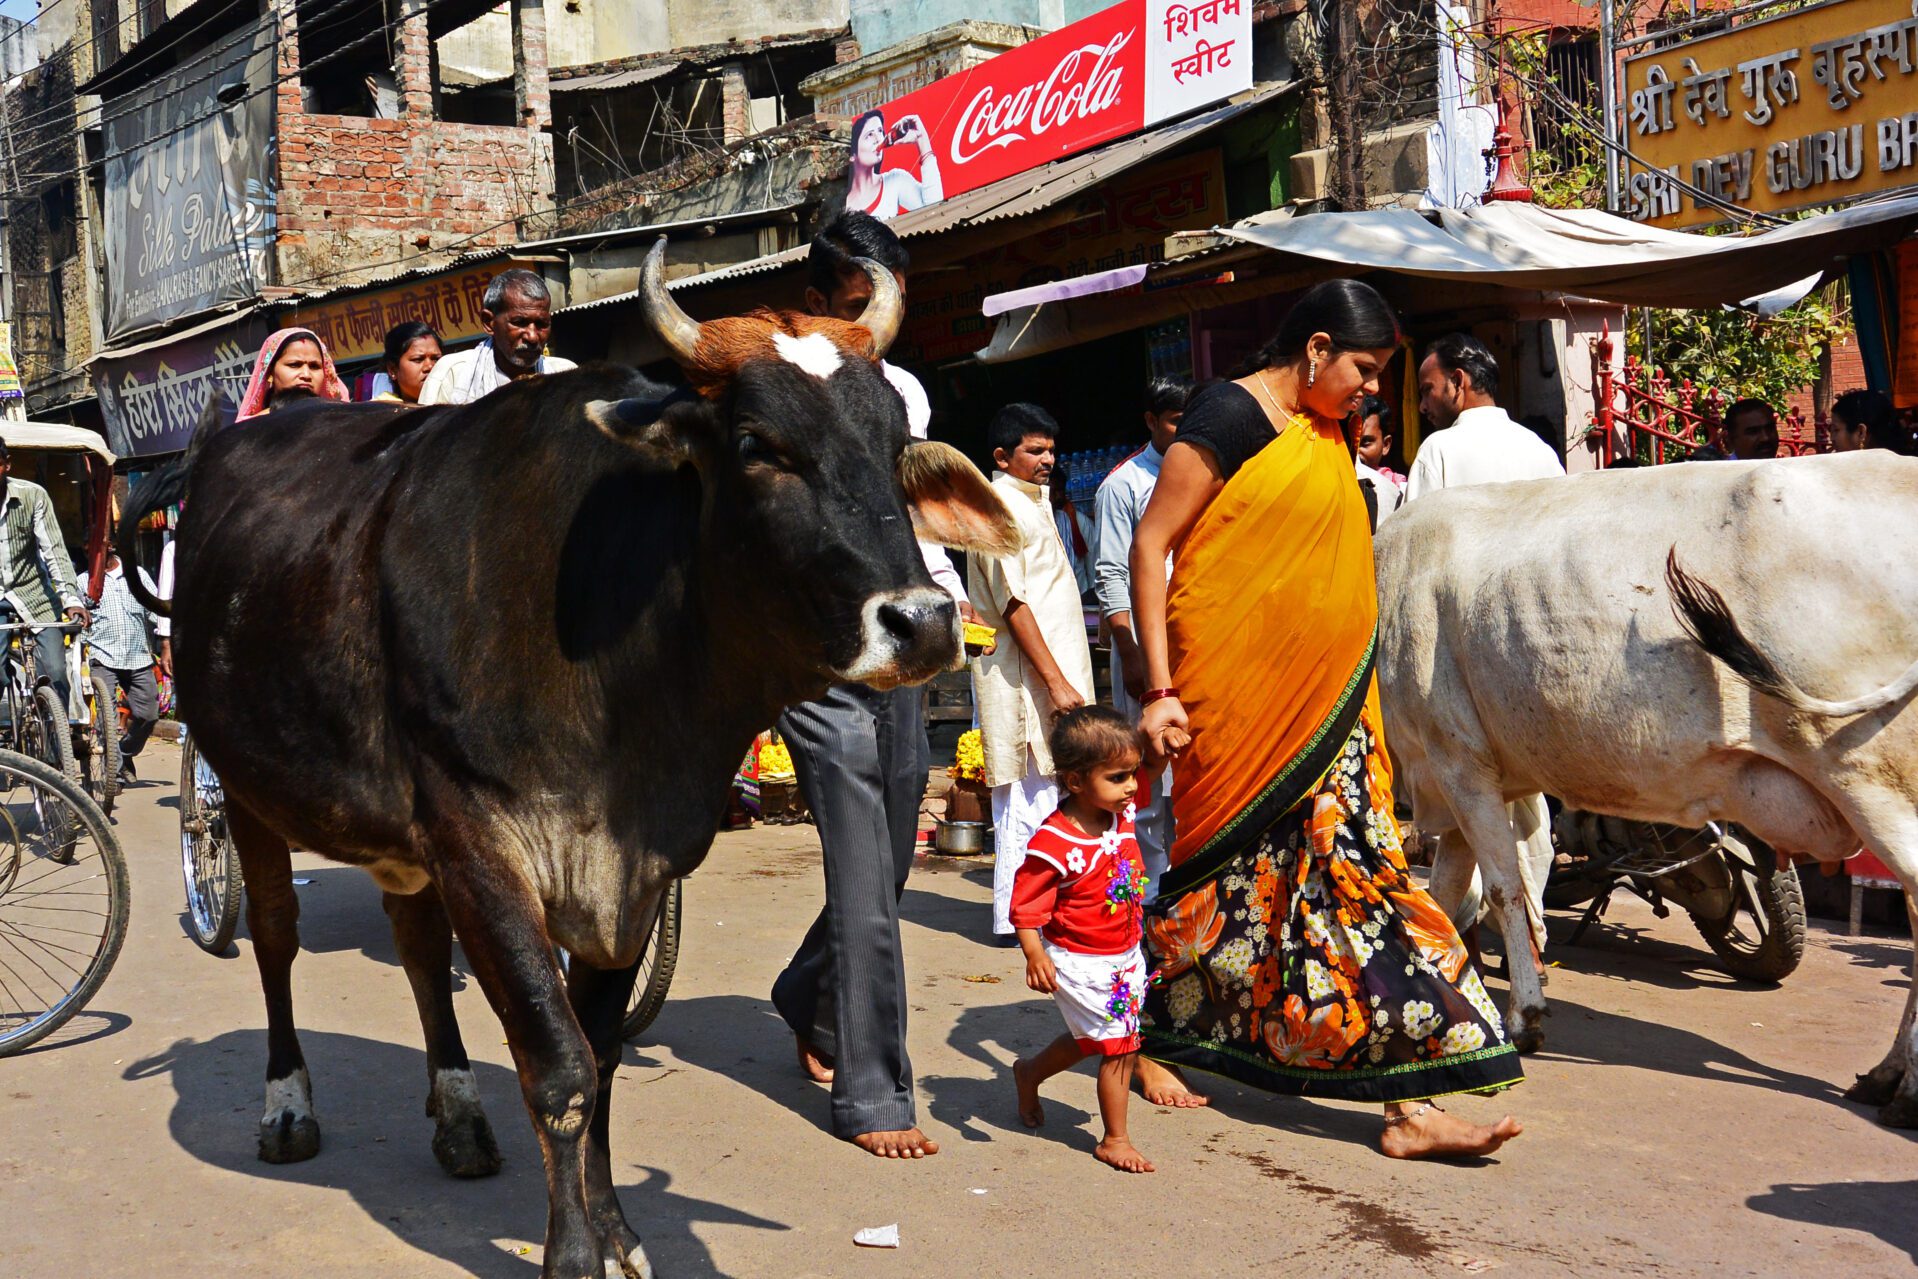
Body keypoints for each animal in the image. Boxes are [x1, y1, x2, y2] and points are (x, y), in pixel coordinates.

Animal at [123, 242, 1020, 1279]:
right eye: (758, 443)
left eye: (895, 440)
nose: (923, 622)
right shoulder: (480, 845)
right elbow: (558, 1068)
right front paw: (572, 1253)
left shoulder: (632, 869)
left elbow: (602, 1057)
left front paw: (620, 1231)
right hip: (250, 788)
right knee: (274, 935)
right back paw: (287, 1105)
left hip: (400, 838)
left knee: (419, 948)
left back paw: (459, 1115)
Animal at [1388, 454, 1918, 1127]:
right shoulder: (1456, 781)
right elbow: (1446, 899)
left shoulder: (1459, 762)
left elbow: (1504, 889)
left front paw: (1524, 1018)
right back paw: (1885, 1076)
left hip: (1871, 780)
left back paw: (1906, 1088)